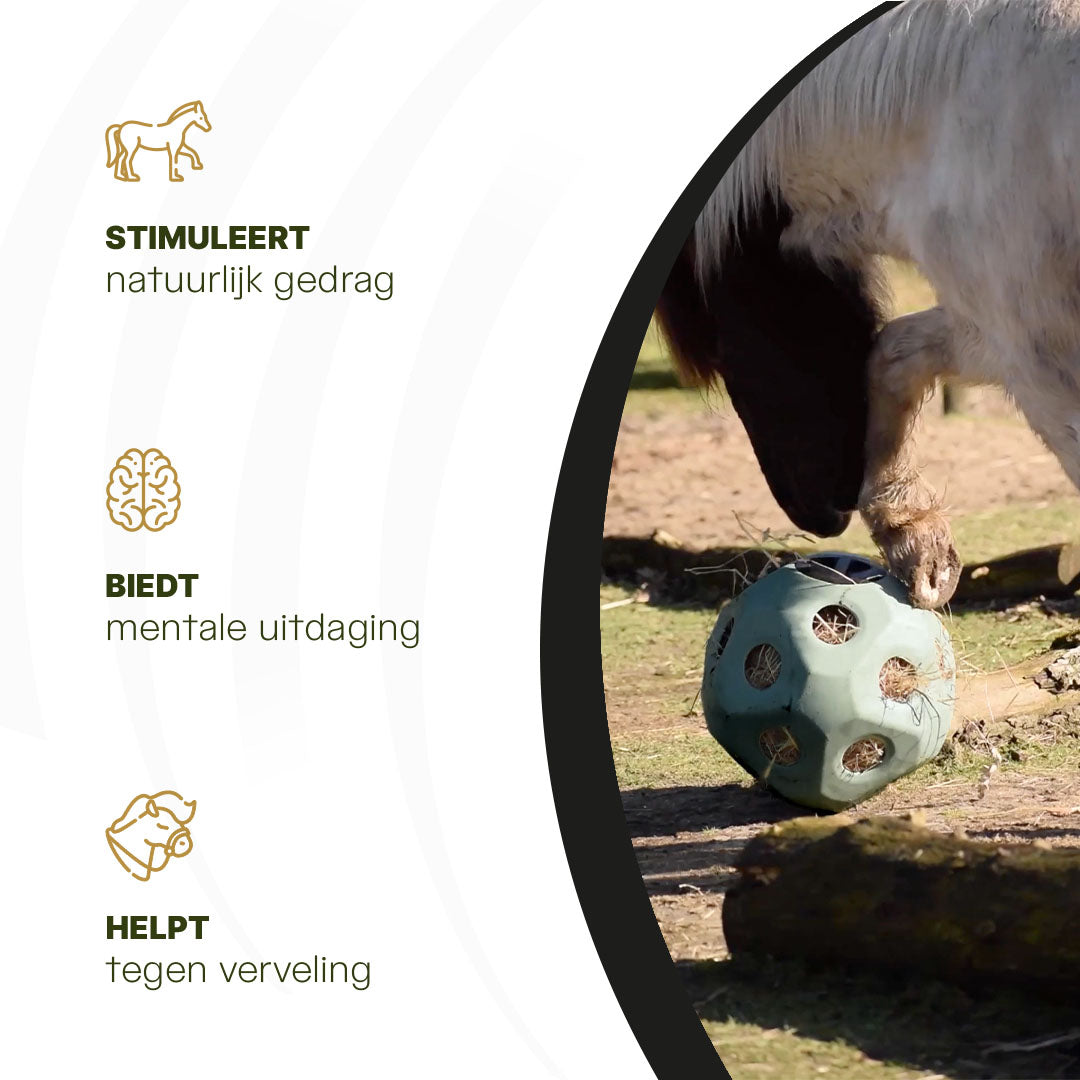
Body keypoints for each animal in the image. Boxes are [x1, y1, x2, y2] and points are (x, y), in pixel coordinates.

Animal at [656, 0, 1080, 610]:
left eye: (719, 344)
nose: (821, 514)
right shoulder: (993, 324)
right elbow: (893, 355)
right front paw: (913, 538)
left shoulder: (1038, 349)